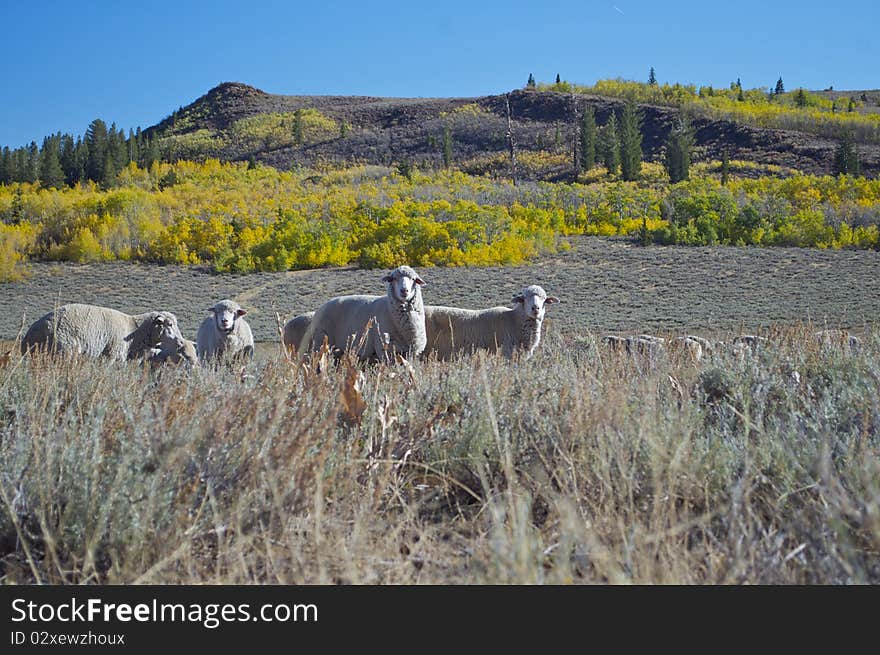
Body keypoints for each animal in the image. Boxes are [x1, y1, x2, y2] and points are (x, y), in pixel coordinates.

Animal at [300, 264, 428, 362]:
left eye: (413, 279)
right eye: (393, 279)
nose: (404, 291)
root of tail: (320, 308)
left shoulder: (411, 352)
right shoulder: (384, 349)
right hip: (321, 340)